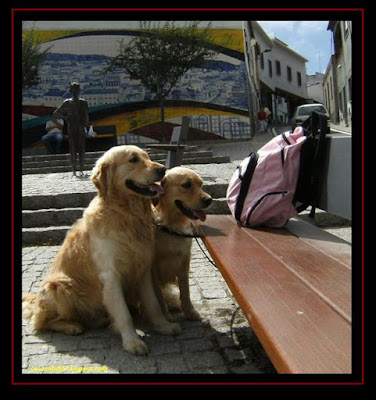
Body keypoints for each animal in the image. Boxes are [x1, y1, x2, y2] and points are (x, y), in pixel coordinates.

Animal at [22, 145, 181, 354]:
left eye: (147, 156)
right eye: (133, 159)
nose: (162, 169)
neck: (126, 214)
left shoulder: (143, 269)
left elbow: (153, 303)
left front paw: (163, 326)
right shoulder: (110, 275)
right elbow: (123, 313)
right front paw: (132, 342)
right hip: (58, 285)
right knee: (41, 323)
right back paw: (70, 326)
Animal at [152, 166, 212, 322]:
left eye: (201, 184)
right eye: (186, 185)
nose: (209, 200)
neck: (171, 225)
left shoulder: (185, 259)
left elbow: (185, 290)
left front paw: (190, 311)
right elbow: (158, 294)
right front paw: (165, 315)